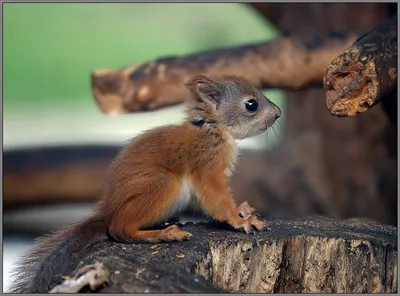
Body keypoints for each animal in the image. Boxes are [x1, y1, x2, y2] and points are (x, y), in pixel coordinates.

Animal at [8, 75, 282, 292]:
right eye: (251, 104)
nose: (278, 113)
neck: (213, 128)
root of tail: (109, 210)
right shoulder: (207, 168)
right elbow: (216, 198)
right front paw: (240, 220)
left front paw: (244, 210)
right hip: (162, 184)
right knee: (119, 229)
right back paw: (162, 234)